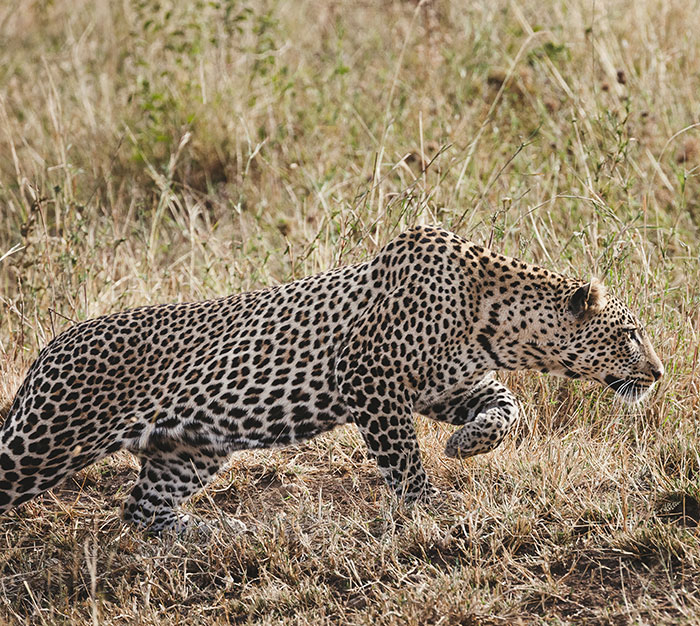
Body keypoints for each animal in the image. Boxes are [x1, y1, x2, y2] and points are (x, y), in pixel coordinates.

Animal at [0, 224, 664, 532]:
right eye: (631, 334)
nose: (659, 373)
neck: (495, 318)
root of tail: (48, 348)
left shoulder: (447, 385)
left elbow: (506, 407)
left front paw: (465, 444)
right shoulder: (371, 381)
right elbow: (403, 458)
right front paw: (425, 509)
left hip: (189, 448)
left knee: (142, 509)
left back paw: (211, 532)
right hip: (43, 441)